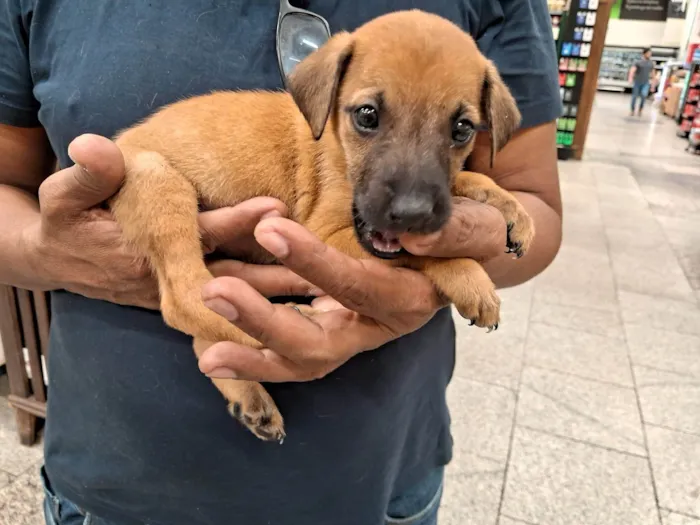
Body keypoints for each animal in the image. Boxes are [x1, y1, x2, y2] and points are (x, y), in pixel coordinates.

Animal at [109, 9, 532, 442]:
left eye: (462, 129)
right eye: (367, 115)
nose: (412, 213)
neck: (337, 143)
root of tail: (122, 140)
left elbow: (464, 179)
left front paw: (508, 206)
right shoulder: (325, 232)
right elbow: (419, 254)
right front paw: (468, 275)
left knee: (203, 341)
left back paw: (249, 394)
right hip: (159, 180)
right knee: (182, 298)